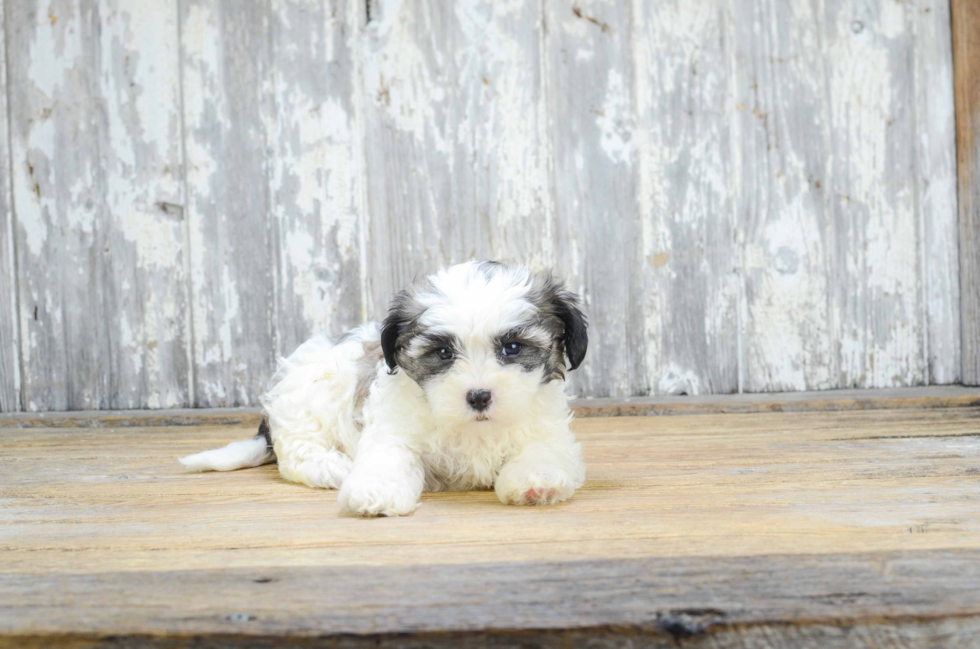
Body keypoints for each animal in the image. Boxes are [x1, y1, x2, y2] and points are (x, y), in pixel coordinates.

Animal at [180, 258, 584, 516]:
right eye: (442, 352)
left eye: (512, 348)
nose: (479, 396)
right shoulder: (394, 428)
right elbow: (388, 457)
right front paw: (375, 491)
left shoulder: (548, 431)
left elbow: (544, 453)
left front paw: (536, 482)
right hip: (310, 393)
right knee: (296, 452)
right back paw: (332, 467)